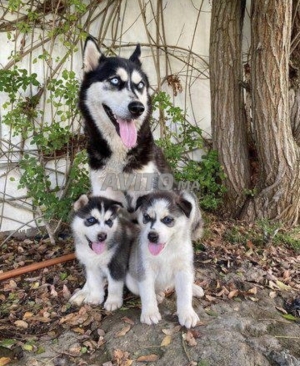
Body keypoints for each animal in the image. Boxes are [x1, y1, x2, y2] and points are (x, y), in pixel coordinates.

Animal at [125, 190, 205, 328]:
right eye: (147, 217)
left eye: (168, 219)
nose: (152, 236)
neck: (166, 250)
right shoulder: (145, 269)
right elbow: (147, 293)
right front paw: (150, 313)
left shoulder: (183, 269)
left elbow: (185, 293)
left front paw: (187, 313)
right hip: (131, 281)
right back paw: (158, 295)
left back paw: (193, 288)